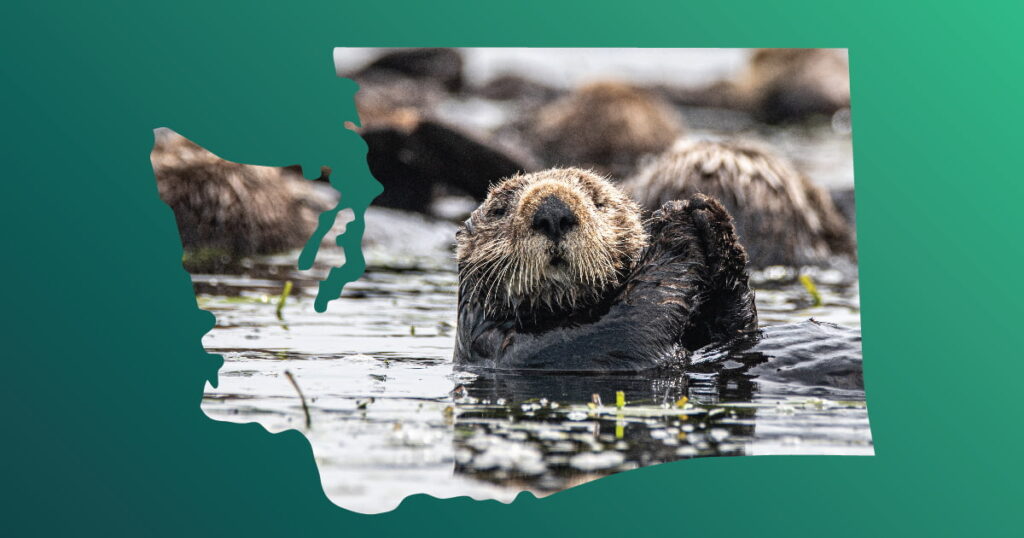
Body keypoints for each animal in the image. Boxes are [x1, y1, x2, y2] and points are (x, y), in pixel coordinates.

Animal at [454, 168, 757, 372]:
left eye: (598, 201)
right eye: (499, 210)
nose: (553, 212)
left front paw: (711, 216)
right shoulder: (532, 350)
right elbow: (631, 322)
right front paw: (673, 225)